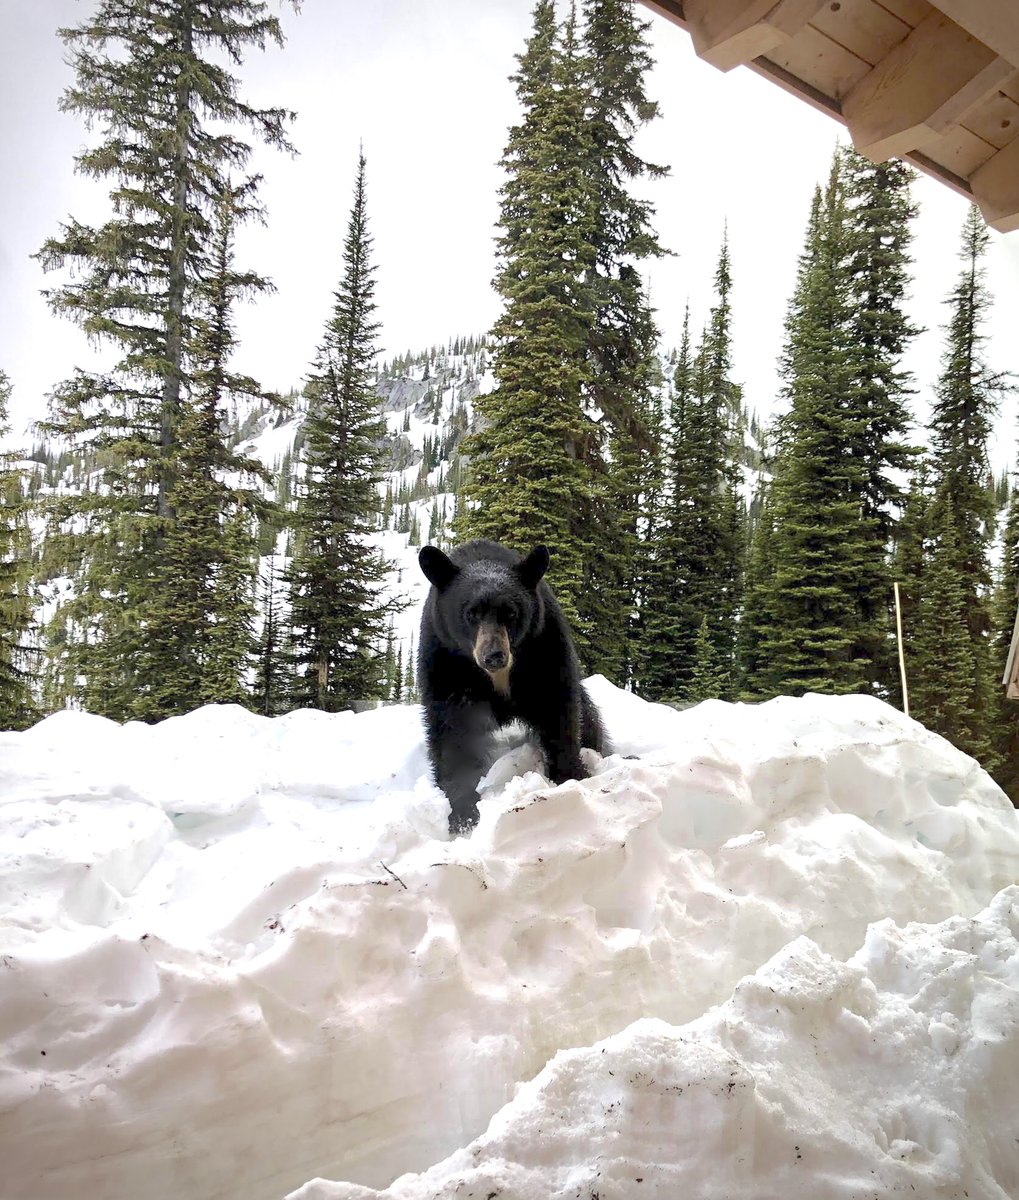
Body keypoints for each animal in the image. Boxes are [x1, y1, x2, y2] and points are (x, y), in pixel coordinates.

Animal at [417, 538, 609, 835]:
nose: (494, 655)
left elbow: (559, 709)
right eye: (471, 614)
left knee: (588, 719)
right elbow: (452, 730)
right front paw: (463, 816)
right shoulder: (444, 658)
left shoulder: (545, 642)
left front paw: (572, 778)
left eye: (510, 613)